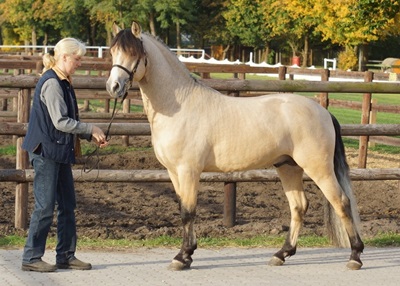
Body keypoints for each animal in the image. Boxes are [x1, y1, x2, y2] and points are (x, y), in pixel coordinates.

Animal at [107, 21, 366, 272]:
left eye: (134, 53)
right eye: (112, 51)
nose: (113, 87)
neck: (179, 105)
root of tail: (323, 112)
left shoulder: (188, 170)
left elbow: (188, 212)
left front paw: (182, 257)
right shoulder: (173, 172)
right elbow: (183, 209)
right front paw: (187, 255)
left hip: (319, 169)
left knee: (342, 203)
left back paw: (355, 256)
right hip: (288, 167)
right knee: (299, 206)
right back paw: (281, 254)